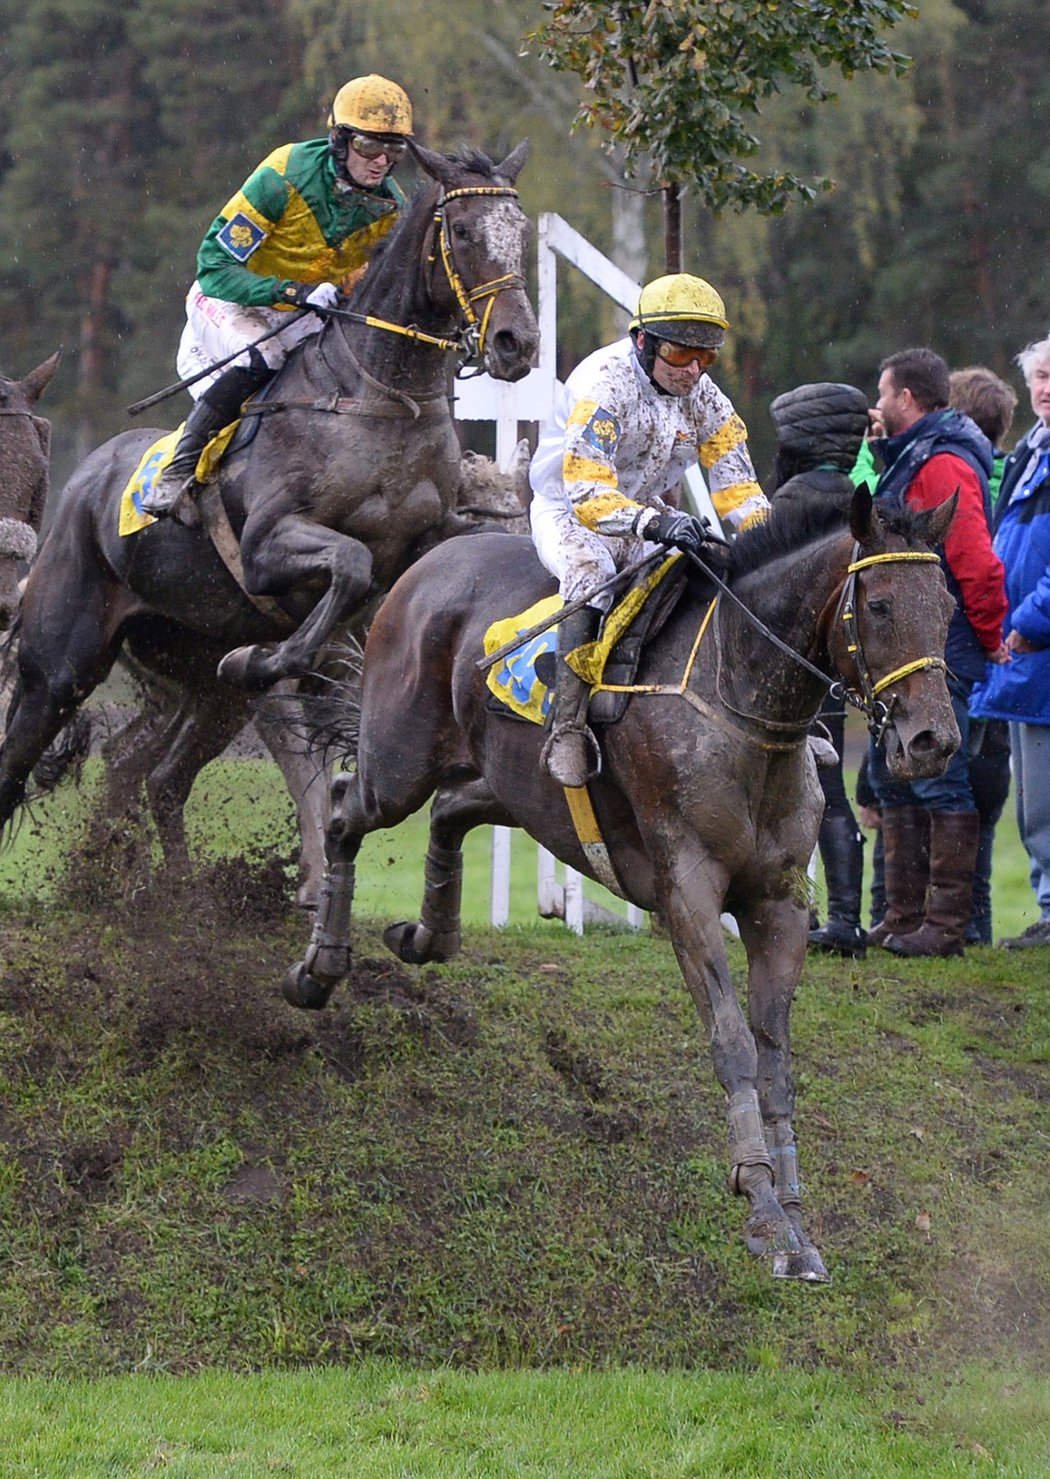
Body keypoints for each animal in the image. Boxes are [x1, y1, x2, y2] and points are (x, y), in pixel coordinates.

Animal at [285, 488, 964, 1283]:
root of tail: (428, 563)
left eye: (947, 605)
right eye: (880, 604)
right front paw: (763, 1209)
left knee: (452, 809)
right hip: (399, 763)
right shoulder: (688, 894)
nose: (933, 741)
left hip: (516, 788)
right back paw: (318, 966)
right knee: (343, 808)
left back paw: (429, 933)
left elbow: (775, 1060)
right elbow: (733, 1043)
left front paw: (798, 1225)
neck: (738, 694)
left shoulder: (780, 903)